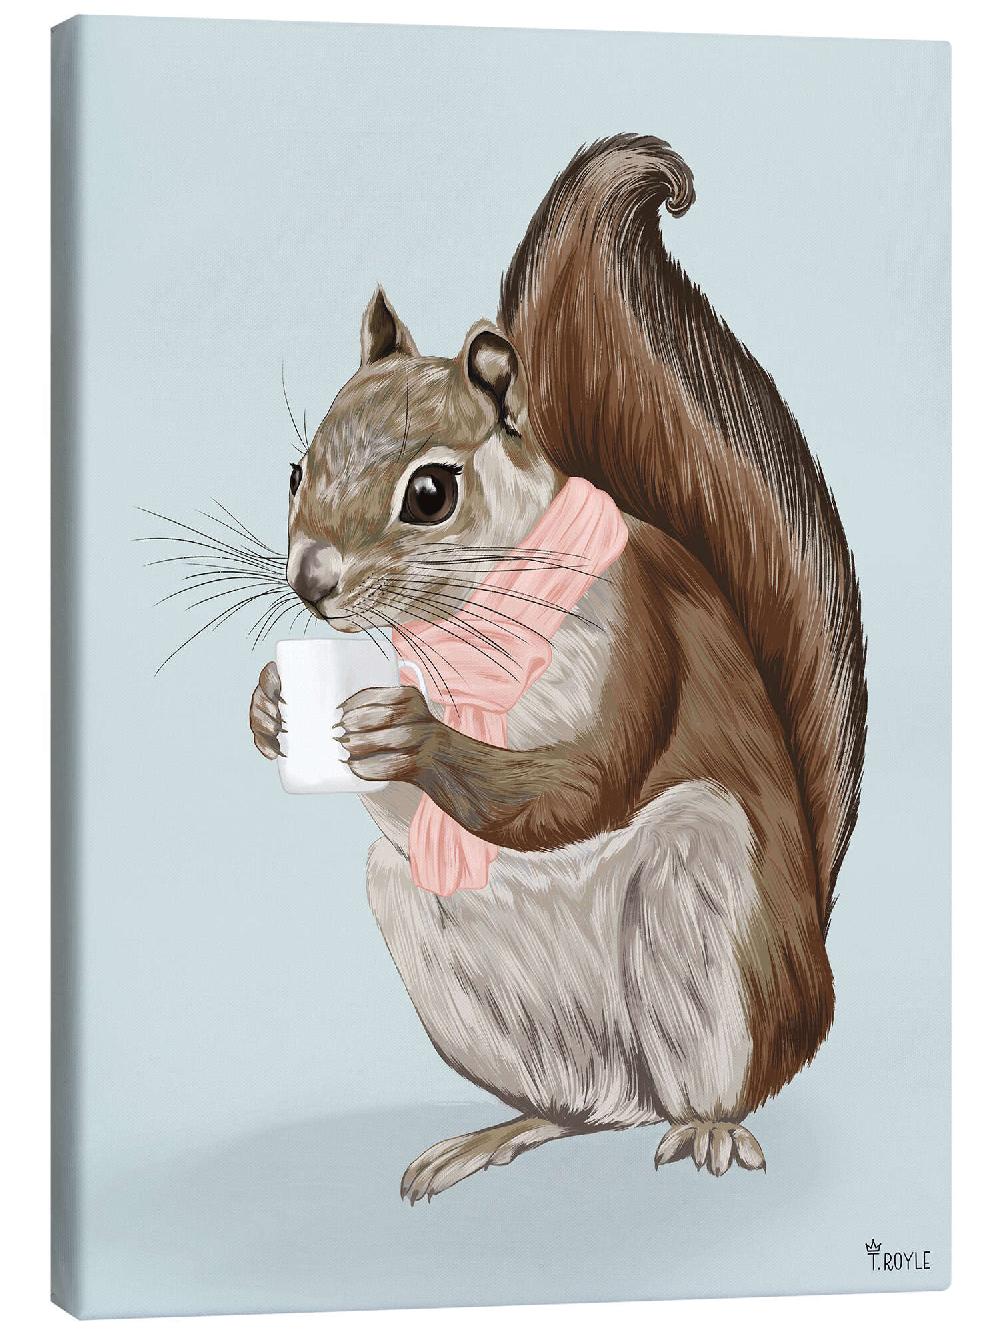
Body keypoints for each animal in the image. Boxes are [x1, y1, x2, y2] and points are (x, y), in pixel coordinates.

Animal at [248, 135, 867, 1200]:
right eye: (297, 469)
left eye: (430, 492)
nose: (311, 582)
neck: (461, 625)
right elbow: (418, 818)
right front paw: (273, 702)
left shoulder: (638, 638)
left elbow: (582, 781)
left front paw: (410, 734)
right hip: (449, 948)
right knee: (589, 1104)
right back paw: (504, 1132)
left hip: (708, 904)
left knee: (708, 1086)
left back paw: (708, 1127)